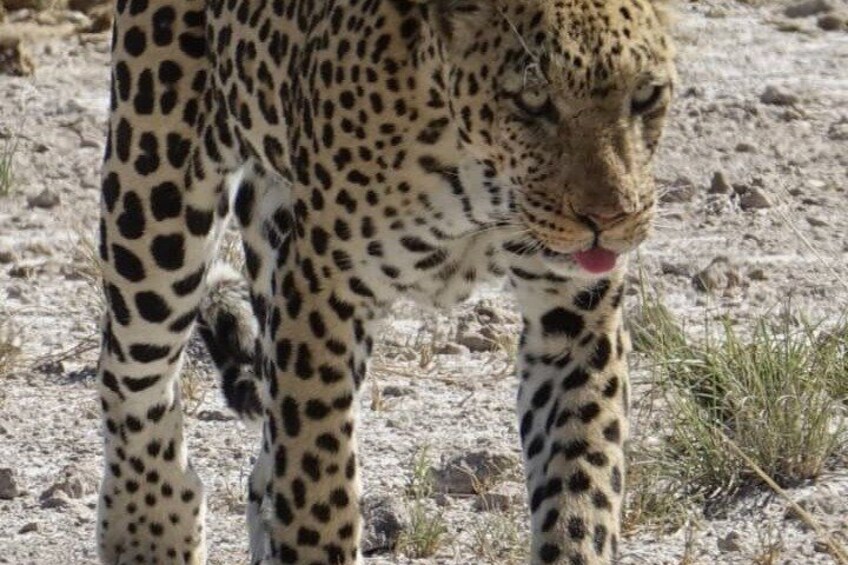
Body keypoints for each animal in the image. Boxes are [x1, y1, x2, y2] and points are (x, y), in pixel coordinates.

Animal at [95, 0, 675, 563]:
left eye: (646, 96)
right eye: (532, 101)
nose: (609, 219)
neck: (483, 176)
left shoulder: (575, 316)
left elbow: (581, 483)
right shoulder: (322, 291)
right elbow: (317, 478)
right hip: (156, 191)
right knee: (133, 376)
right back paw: (149, 535)